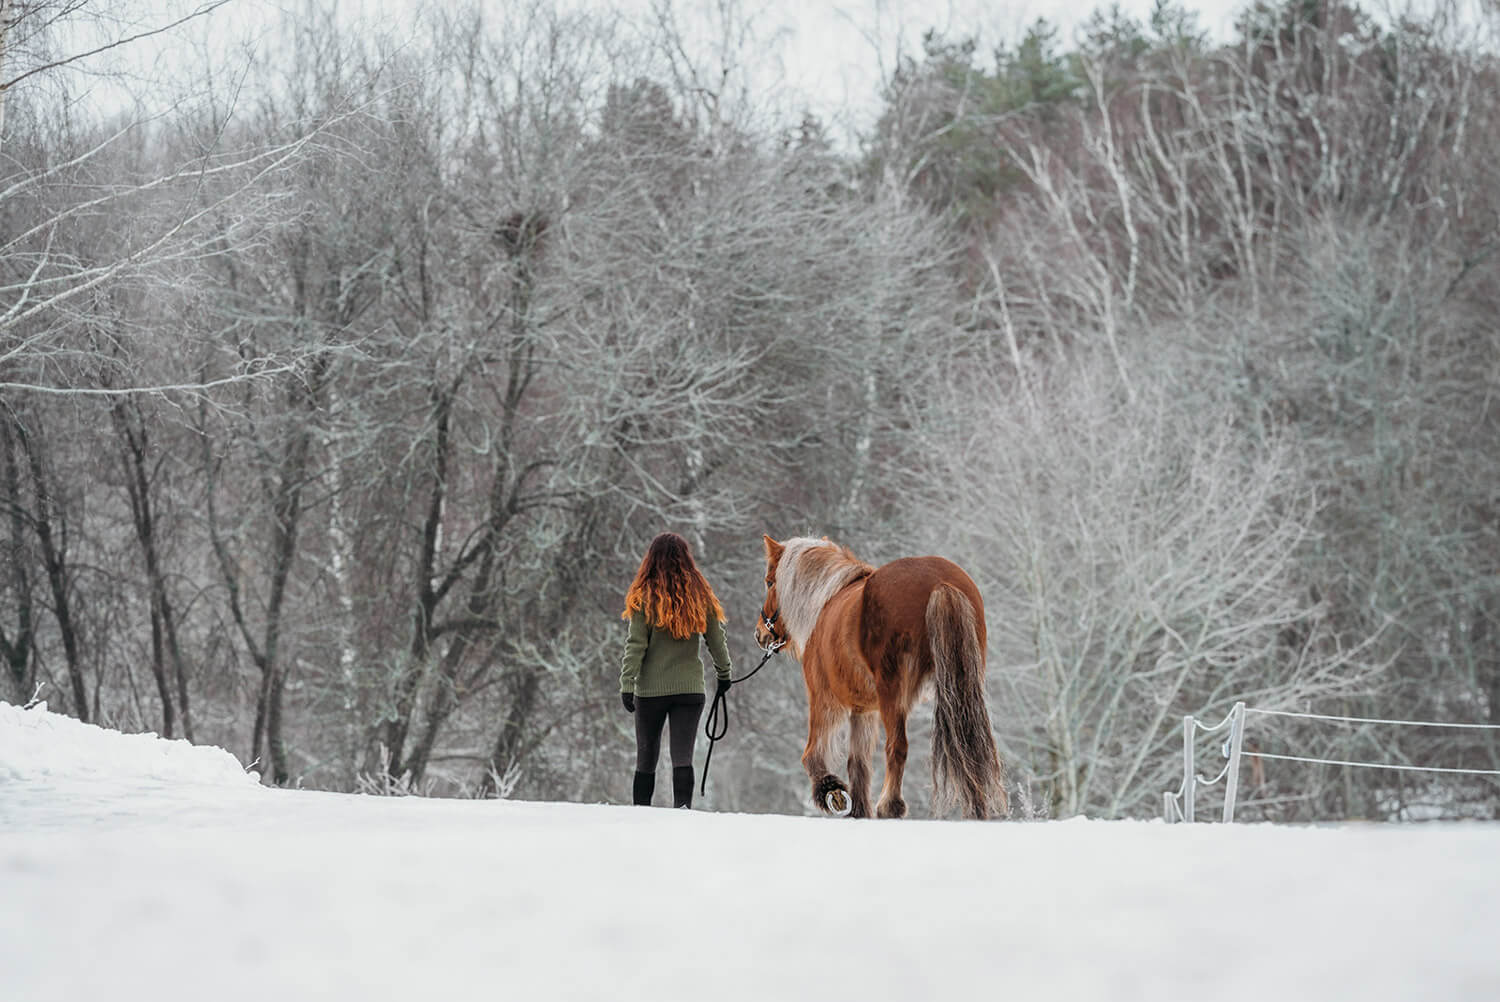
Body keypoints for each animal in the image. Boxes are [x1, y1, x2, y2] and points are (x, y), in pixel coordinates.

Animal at [750, 537, 1008, 816]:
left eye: (769, 582)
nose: (760, 634)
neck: (825, 602)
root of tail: (940, 582)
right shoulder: (862, 710)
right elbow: (858, 763)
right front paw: (858, 811)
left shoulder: (824, 700)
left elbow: (813, 755)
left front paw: (833, 792)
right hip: (962, 687)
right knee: (970, 743)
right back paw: (977, 807)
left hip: (891, 693)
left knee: (897, 746)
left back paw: (890, 806)